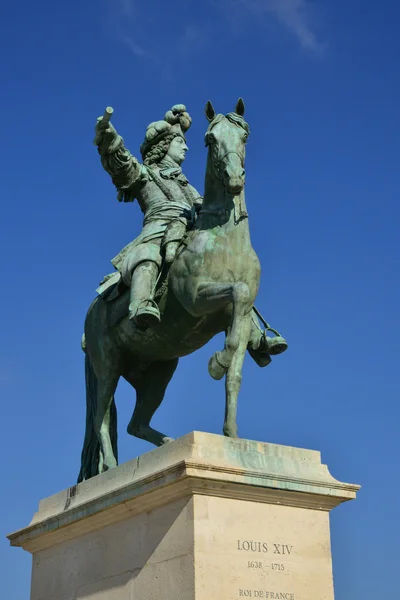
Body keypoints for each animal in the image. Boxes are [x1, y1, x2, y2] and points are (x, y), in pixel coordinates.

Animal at [78, 98, 264, 482]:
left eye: (244, 135)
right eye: (210, 139)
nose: (234, 179)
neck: (225, 240)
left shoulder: (238, 319)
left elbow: (235, 370)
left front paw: (232, 435)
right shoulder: (196, 301)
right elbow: (235, 292)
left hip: (159, 372)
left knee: (135, 424)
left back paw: (168, 445)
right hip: (108, 367)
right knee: (102, 417)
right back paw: (111, 469)